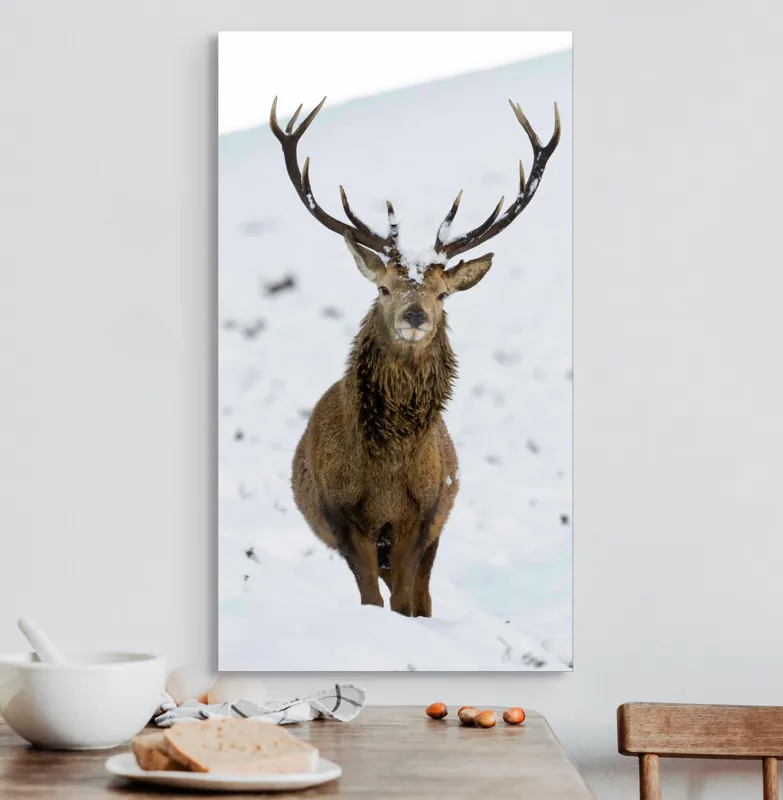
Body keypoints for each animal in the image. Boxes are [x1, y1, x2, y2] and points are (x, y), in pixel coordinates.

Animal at [270, 96, 560, 617]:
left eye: (443, 294)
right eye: (383, 288)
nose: (415, 315)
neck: (387, 470)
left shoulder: (422, 517)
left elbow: (406, 599)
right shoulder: (343, 517)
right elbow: (371, 596)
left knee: (424, 593)